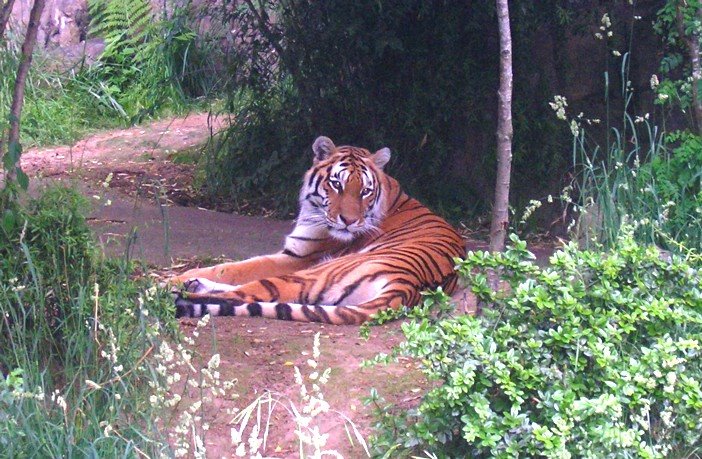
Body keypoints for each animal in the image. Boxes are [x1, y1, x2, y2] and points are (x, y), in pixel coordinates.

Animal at [170, 135, 468, 326]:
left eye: (365, 191)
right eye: (337, 184)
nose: (349, 221)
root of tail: (408, 286)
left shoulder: (298, 257)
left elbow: (235, 268)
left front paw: (175, 278)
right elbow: (230, 267)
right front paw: (187, 276)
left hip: (314, 272)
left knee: (244, 294)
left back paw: (171, 294)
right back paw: (193, 284)